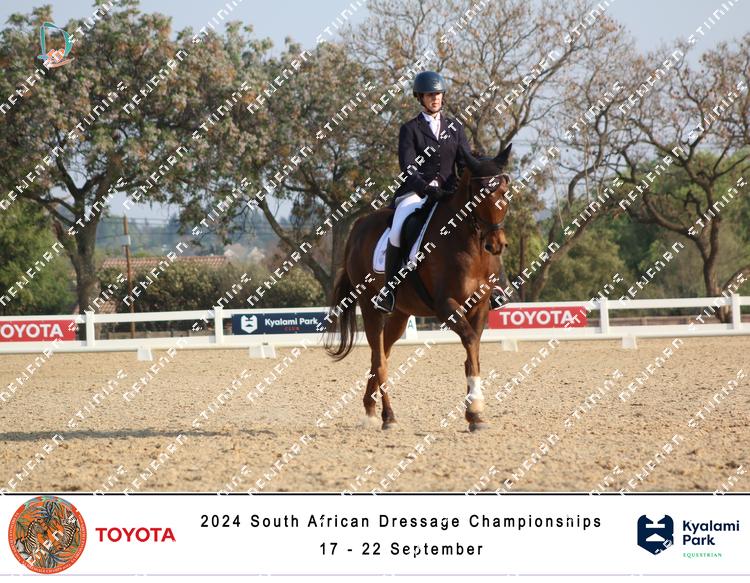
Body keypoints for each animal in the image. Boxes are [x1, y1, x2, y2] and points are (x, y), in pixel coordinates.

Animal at [324, 143, 512, 432]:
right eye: (481, 194)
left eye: (504, 193)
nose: (496, 244)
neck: (469, 245)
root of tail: (359, 226)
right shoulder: (446, 305)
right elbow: (470, 341)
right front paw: (476, 409)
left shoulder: (480, 305)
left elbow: (474, 354)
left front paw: (475, 415)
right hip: (369, 306)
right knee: (379, 359)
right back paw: (388, 417)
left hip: (401, 313)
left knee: (382, 353)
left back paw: (370, 409)